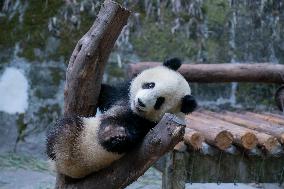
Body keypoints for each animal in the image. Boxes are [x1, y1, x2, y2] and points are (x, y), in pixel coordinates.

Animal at [46, 57, 197, 179]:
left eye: (159, 101)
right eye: (150, 85)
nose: (140, 102)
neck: (133, 110)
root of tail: (66, 168)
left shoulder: (147, 124)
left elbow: (126, 134)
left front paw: (117, 136)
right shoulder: (122, 95)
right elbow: (108, 95)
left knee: (65, 127)